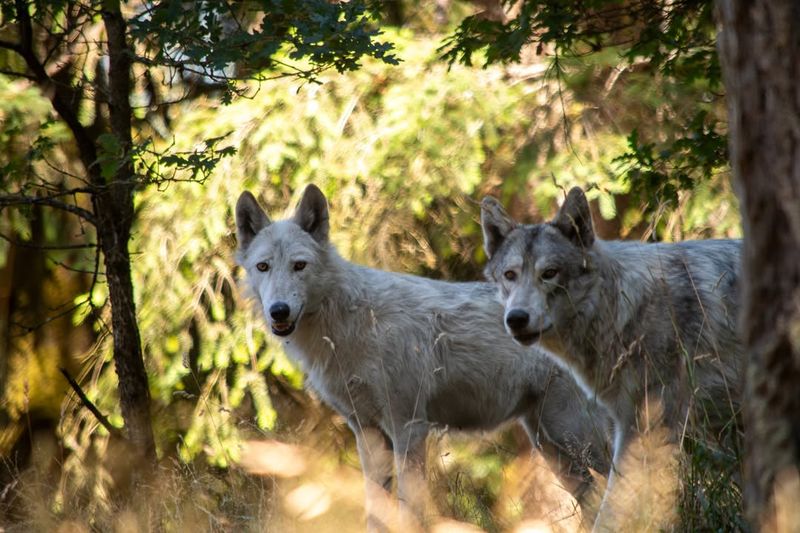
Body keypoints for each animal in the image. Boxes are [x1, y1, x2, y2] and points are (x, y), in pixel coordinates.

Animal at [234, 185, 608, 528]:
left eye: (299, 266)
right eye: (263, 267)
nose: (278, 311)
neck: (350, 323)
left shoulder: (409, 428)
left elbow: (409, 512)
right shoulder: (367, 432)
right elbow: (376, 513)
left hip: (576, 435)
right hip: (554, 445)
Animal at [478, 187, 748, 528]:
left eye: (549, 274)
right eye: (510, 275)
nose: (516, 318)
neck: (621, 308)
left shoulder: (644, 429)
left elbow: (613, 510)